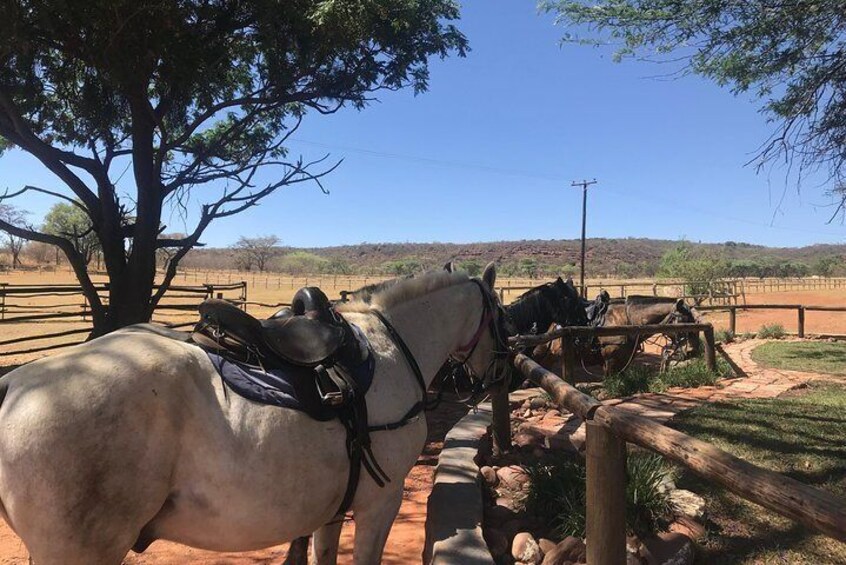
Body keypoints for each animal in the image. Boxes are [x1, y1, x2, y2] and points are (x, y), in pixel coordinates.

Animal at [0, 266, 506, 564]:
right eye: (501, 315)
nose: (502, 370)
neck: (392, 345)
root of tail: (14, 386)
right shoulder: (381, 502)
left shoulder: (332, 509)